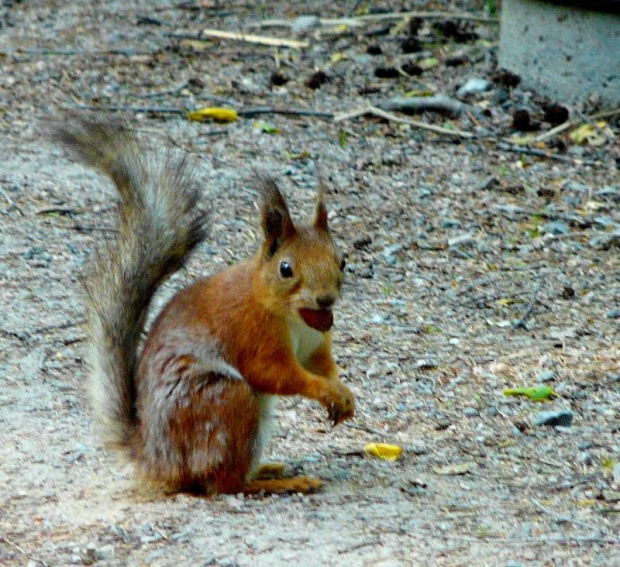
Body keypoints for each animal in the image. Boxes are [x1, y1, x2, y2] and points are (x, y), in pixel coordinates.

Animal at [54, 117, 354, 494]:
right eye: (286, 269)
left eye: (342, 261)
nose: (326, 299)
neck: (296, 317)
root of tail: (157, 459)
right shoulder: (253, 333)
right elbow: (276, 373)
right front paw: (325, 390)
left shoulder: (317, 344)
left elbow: (322, 365)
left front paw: (344, 395)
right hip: (227, 401)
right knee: (223, 484)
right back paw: (283, 482)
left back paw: (268, 469)